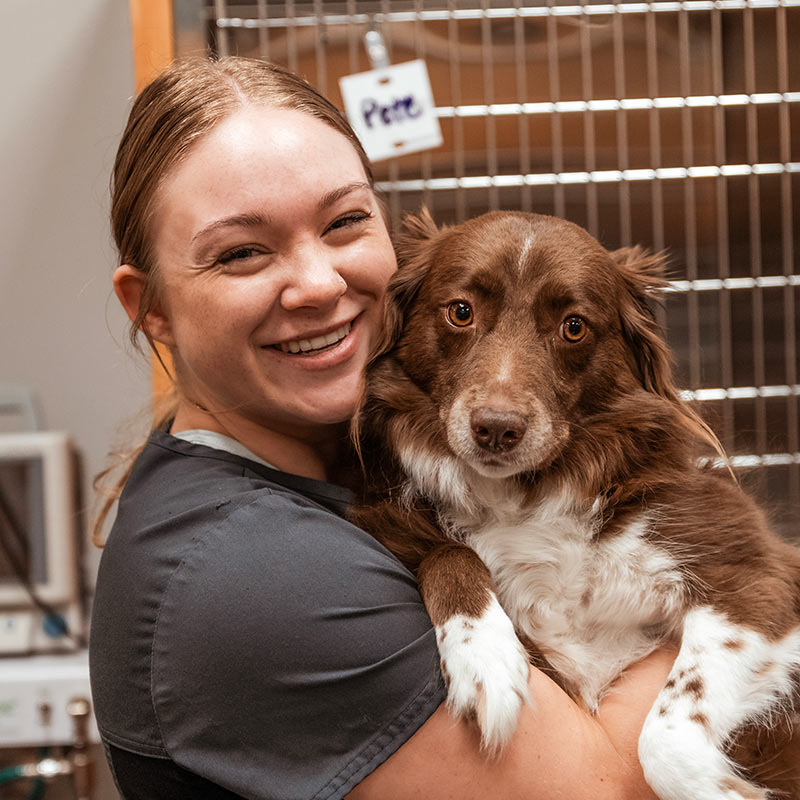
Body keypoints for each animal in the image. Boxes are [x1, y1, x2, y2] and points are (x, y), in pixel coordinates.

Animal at [350, 209, 800, 796]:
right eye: (460, 311)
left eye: (573, 326)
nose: (497, 428)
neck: (523, 500)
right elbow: (449, 553)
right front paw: (485, 657)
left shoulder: (754, 573)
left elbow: (665, 738)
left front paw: (722, 786)